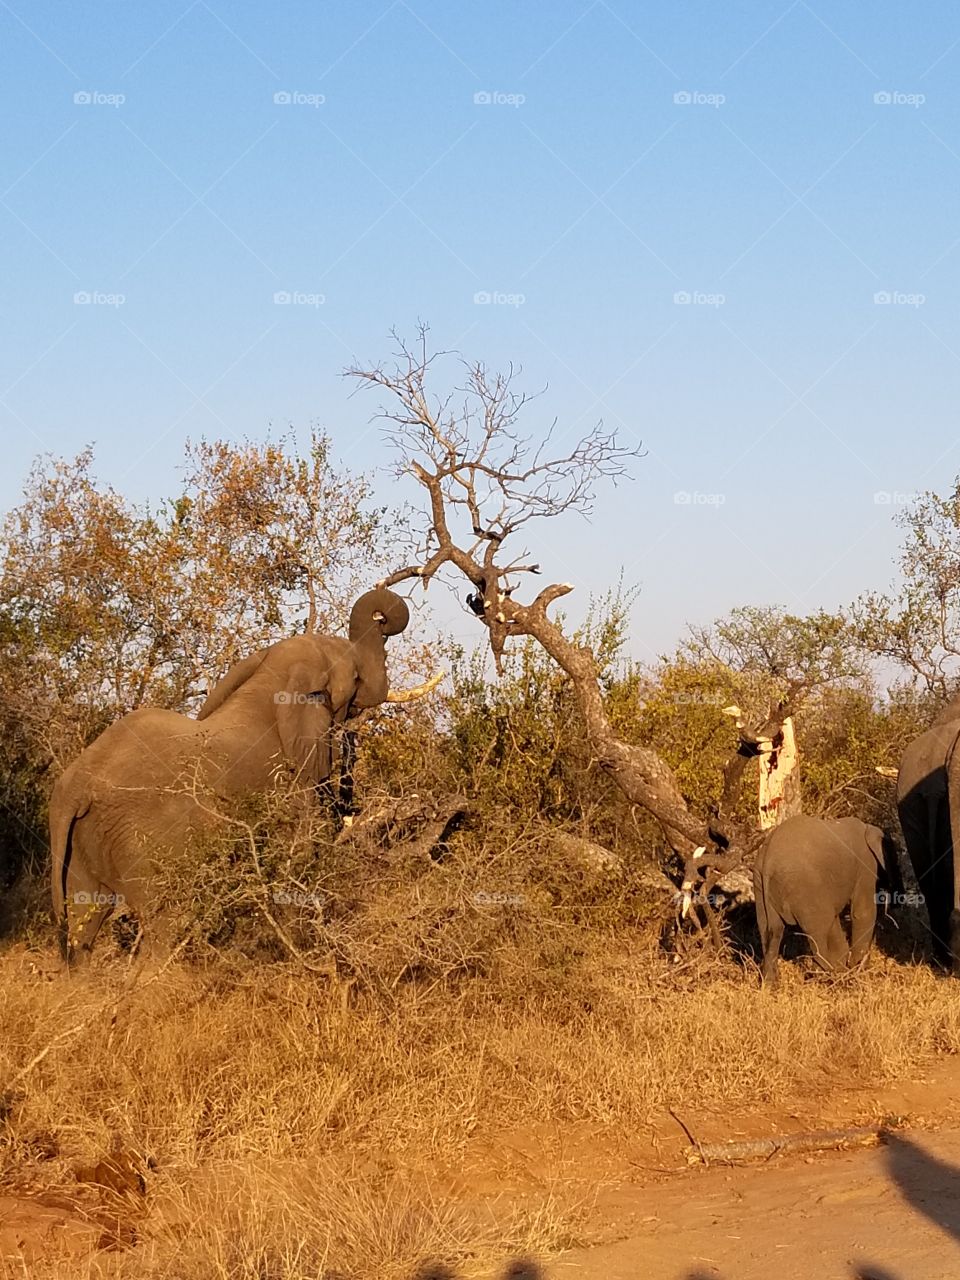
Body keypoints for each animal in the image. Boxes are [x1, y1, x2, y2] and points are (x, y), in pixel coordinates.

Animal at [49, 588, 409, 962]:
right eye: (355, 677)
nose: (382, 620)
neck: (269, 682)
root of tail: (75, 787)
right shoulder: (289, 781)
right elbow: (303, 849)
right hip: (142, 841)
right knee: (164, 922)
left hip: (81, 844)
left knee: (83, 924)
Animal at [753, 814, 898, 986]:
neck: (869, 828)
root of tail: (768, 860)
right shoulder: (866, 866)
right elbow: (862, 912)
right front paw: (857, 970)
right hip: (805, 886)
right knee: (818, 933)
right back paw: (830, 979)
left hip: (760, 887)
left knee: (771, 931)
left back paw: (770, 985)